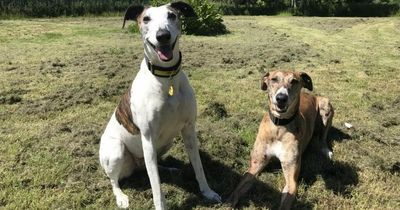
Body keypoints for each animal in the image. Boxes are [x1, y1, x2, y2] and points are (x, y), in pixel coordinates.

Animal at [98, 2, 220, 210]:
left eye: (172, 15)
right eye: (146, 19)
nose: (163, 35)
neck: (166, 77)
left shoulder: (189, 130)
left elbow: (198, 167)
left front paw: (208, 192)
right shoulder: (148, 139)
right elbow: (156, 187)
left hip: (165, 143)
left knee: (150, 166)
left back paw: (169, 168)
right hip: (116, 152)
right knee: (115, 180)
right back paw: (121, 196)